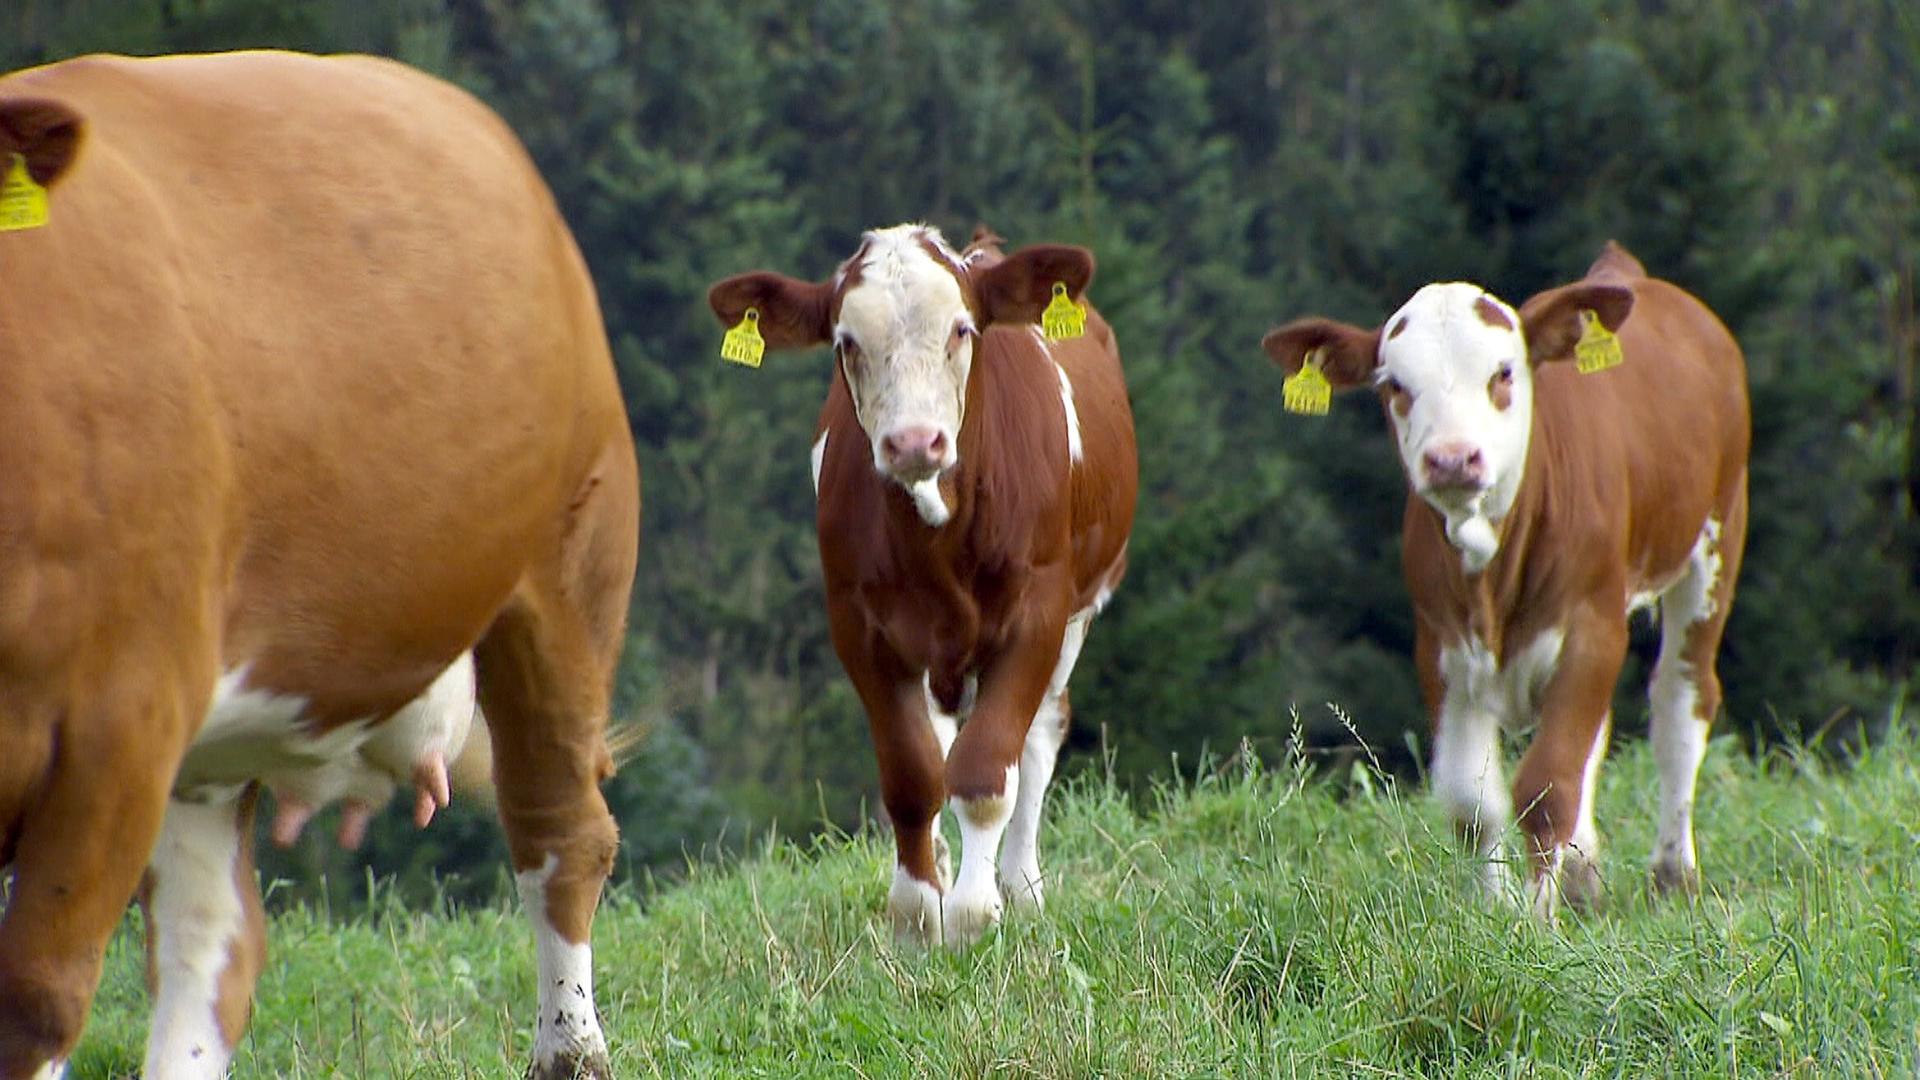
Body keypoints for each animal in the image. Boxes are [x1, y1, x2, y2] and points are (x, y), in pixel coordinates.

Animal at [0, 51, 638, 1079]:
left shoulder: (115, 726)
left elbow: (38, 994)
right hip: (213, 731)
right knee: (213, 941)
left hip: (569, 567)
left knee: (561, 828)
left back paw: (570, 1049)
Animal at [708, 225, 1137, 946]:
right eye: (846, 341)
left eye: (961, 329)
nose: (913, 442)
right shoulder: (860, 626)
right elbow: (913, 777)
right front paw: (917, 915)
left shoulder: (1039, 612)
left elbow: (987, 772)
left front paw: (973, 912)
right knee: (938, 746)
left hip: (1080, 609)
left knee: (1041, 733)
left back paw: (1020, 884)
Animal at [1261, 242, 1749, 919]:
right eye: (1394, 386)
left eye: (1503, 372)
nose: (1451, 459)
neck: (1491, 570)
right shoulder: (1440, 645)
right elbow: (1473, 801)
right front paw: (1493, 910)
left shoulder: (1591, 630)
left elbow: (1547, 785)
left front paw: (1537, 920)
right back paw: (1584, 876)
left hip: (1716, 537)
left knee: (1681, 700)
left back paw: (1672, 875)